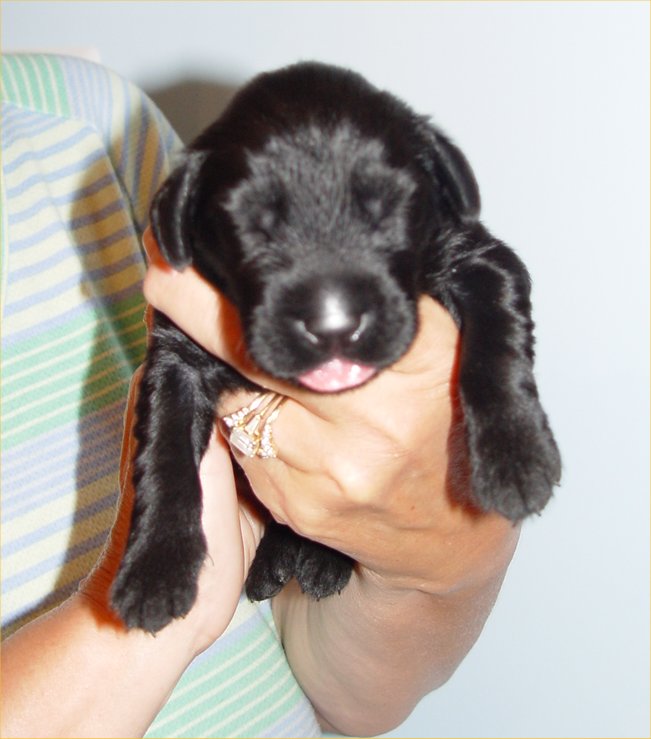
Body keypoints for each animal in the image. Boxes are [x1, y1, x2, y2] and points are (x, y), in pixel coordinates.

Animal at [111, 62, 561, 633]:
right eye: (251, 224)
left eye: (388, 208)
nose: (333, 327)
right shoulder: (174, 354)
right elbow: (164, 457)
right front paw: (154, 569)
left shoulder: (477, 255)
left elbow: (494, 345)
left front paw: (516, 457)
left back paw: (322, 562)